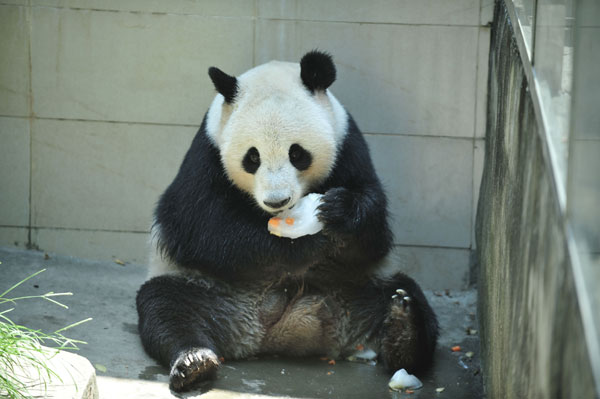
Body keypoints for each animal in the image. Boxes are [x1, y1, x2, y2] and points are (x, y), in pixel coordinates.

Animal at [136, 50, 438, 394]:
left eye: (297, 154)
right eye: (252, 157)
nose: (276, 201)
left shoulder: (348, 144)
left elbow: (374, 230)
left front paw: (339, 212)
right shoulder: (206, 154)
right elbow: (199, 227)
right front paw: (305, 245)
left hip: (357, 287)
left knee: (406, 293)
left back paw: (404, 331)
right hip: (204, 287)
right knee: (167, 309)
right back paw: (194, 362)